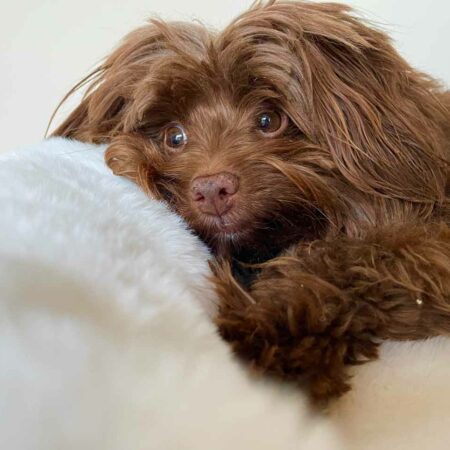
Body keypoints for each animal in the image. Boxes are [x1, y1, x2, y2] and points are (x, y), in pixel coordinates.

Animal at [52, 0, 450, 400]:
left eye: (268, 119)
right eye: (174, 137)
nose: (212, 189)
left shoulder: (424, 245)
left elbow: (346, 260)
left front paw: (266, 326)